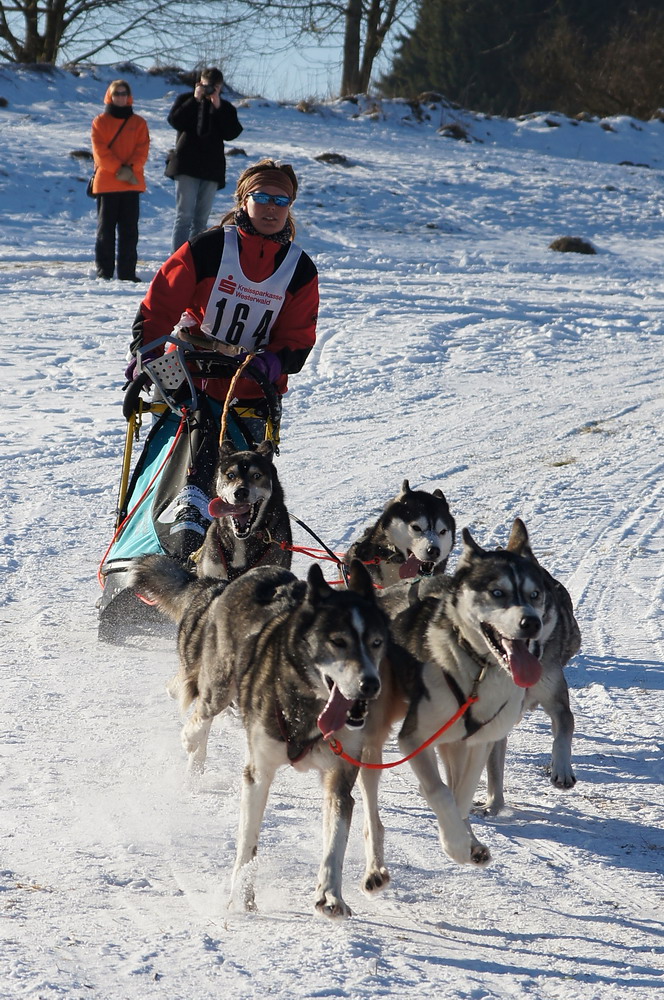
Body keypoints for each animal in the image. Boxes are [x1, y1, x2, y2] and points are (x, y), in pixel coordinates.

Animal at [130, 556, 390, 920]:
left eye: (376, 642)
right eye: (338, 641)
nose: (371, 684)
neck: (309, 710)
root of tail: (230, 582)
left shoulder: (338, 778)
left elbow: (334, 845)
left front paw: (330, 895)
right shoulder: (258, 774)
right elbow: (247, 844)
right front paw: (241, 897)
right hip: (220, 684)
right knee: (200, 713)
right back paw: (190, 738)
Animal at [482, 520, 580, 816]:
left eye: (535, 596)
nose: (530, 623)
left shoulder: (558, 702)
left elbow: (564, 732)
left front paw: (562, 771)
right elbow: (494, 769)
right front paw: (493, 805)